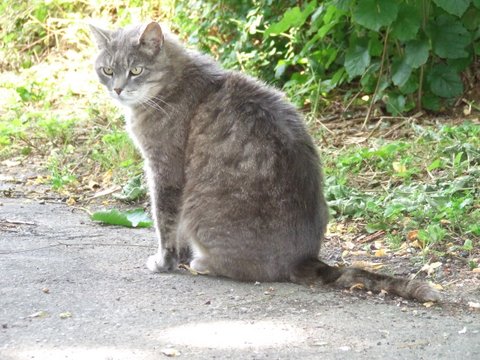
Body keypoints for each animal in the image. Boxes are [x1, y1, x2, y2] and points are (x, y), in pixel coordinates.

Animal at [90, 21, 438, 300]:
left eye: (136, 70)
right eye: (107, 70)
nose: (118, 89)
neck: (171, 85)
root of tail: (304, 258)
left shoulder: (164, 169)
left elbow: (165, 221)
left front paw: (165, 261)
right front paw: (179, 255)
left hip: (200, 209)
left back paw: (204, 262)